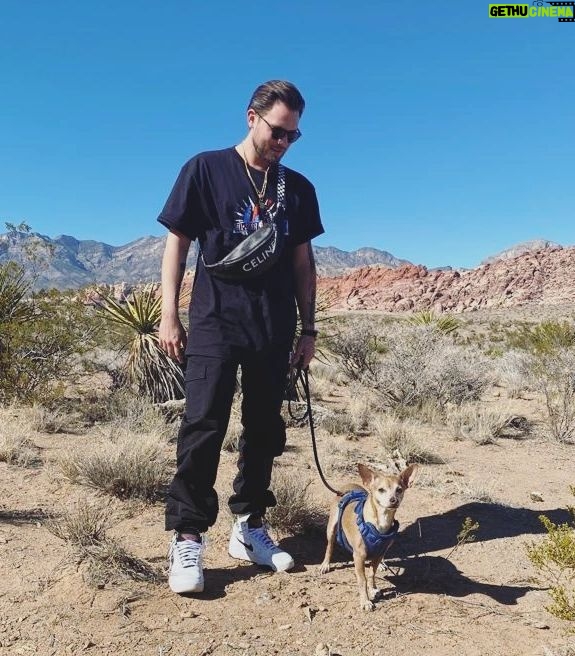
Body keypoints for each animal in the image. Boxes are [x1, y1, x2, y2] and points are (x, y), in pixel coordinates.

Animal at [320, 462, 418, 608]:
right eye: (381, 490)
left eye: (399, 490)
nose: (393, 500)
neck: (380, 522)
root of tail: (348, 487)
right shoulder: (359, 556)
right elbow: (363, 580)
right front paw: (365, 601)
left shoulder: (378, 553)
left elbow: (372, 574)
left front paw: (373, 589)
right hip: (331, 528)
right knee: (329, 546)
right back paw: (325, 564)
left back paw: (383, 564)